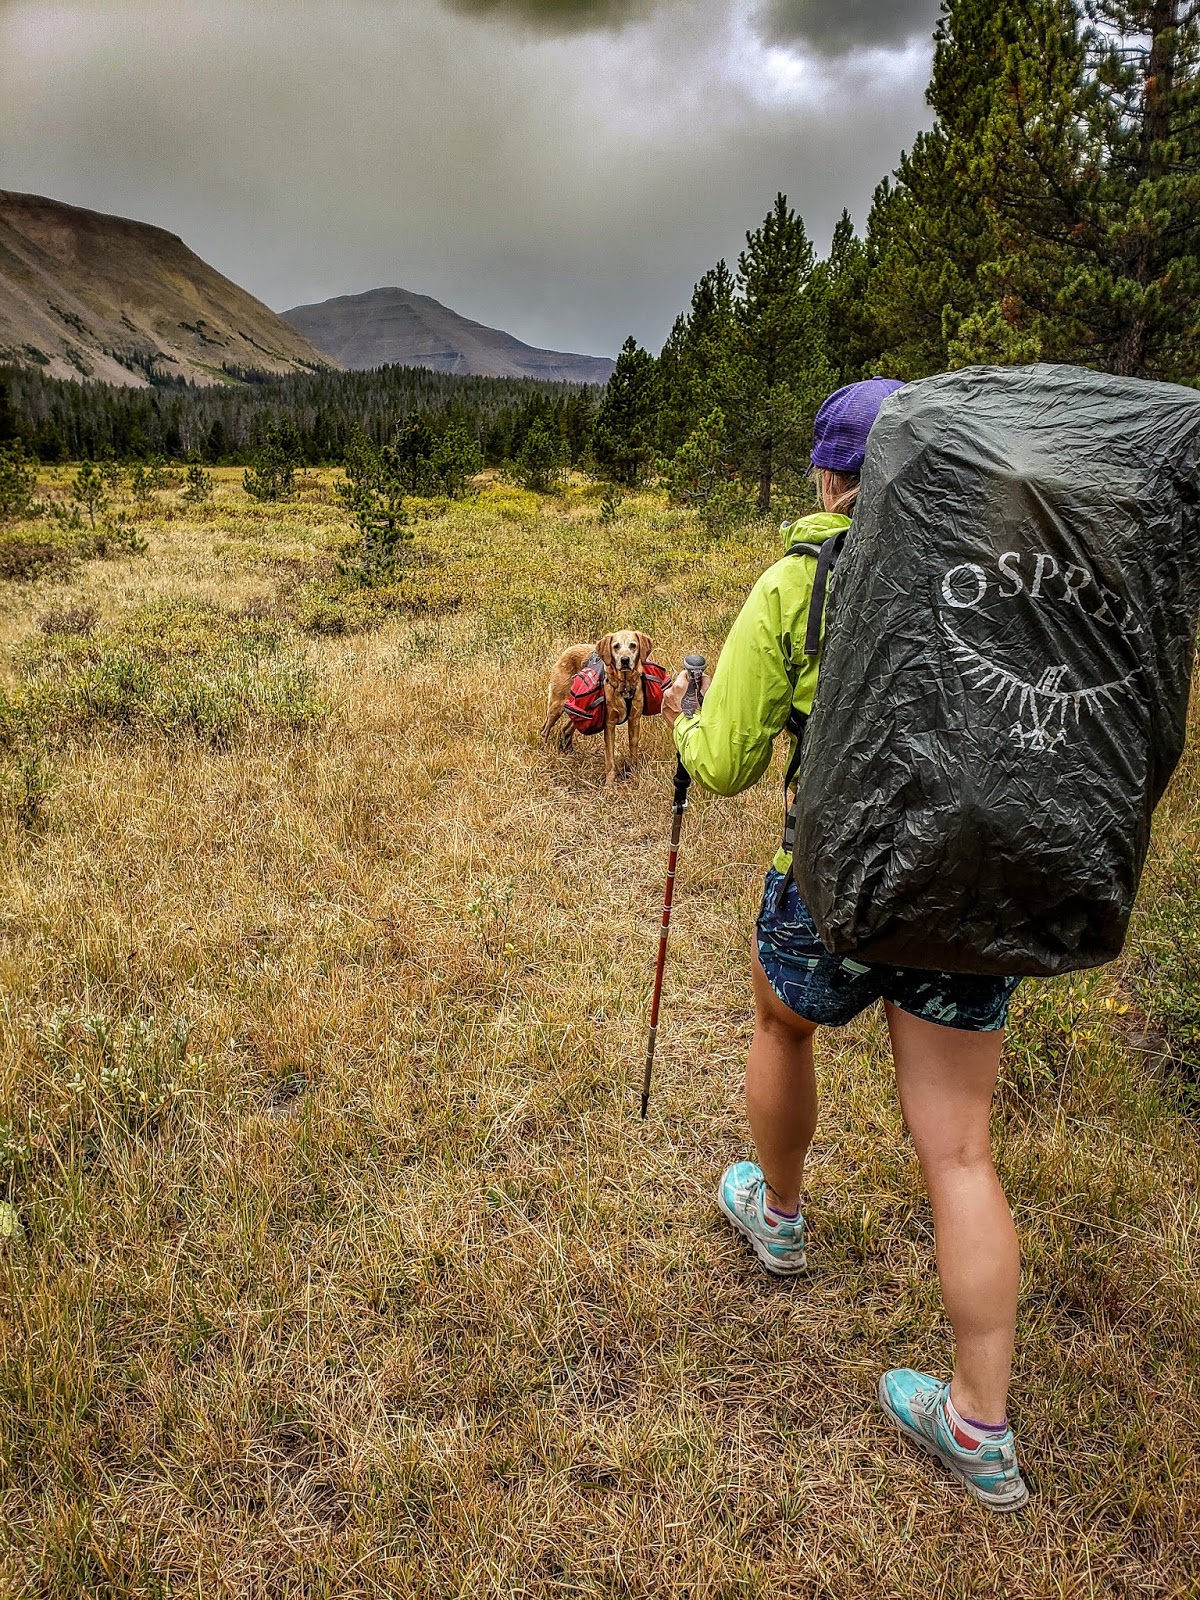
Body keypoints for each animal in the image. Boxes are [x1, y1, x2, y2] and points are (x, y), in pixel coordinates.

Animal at [544, 630, 659, 793]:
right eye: (616, 646)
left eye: (633, 645)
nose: (625, 660)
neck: (624, 686)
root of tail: (568, 649)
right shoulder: (609, 723)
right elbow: (609, 757)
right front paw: (609, 784)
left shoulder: (634, 719)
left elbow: (633, 748)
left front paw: (633, 775)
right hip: (557, 704)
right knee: (545, 729)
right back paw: (543, 751)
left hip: (580, 711)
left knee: (566, 729)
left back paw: (570, 753)